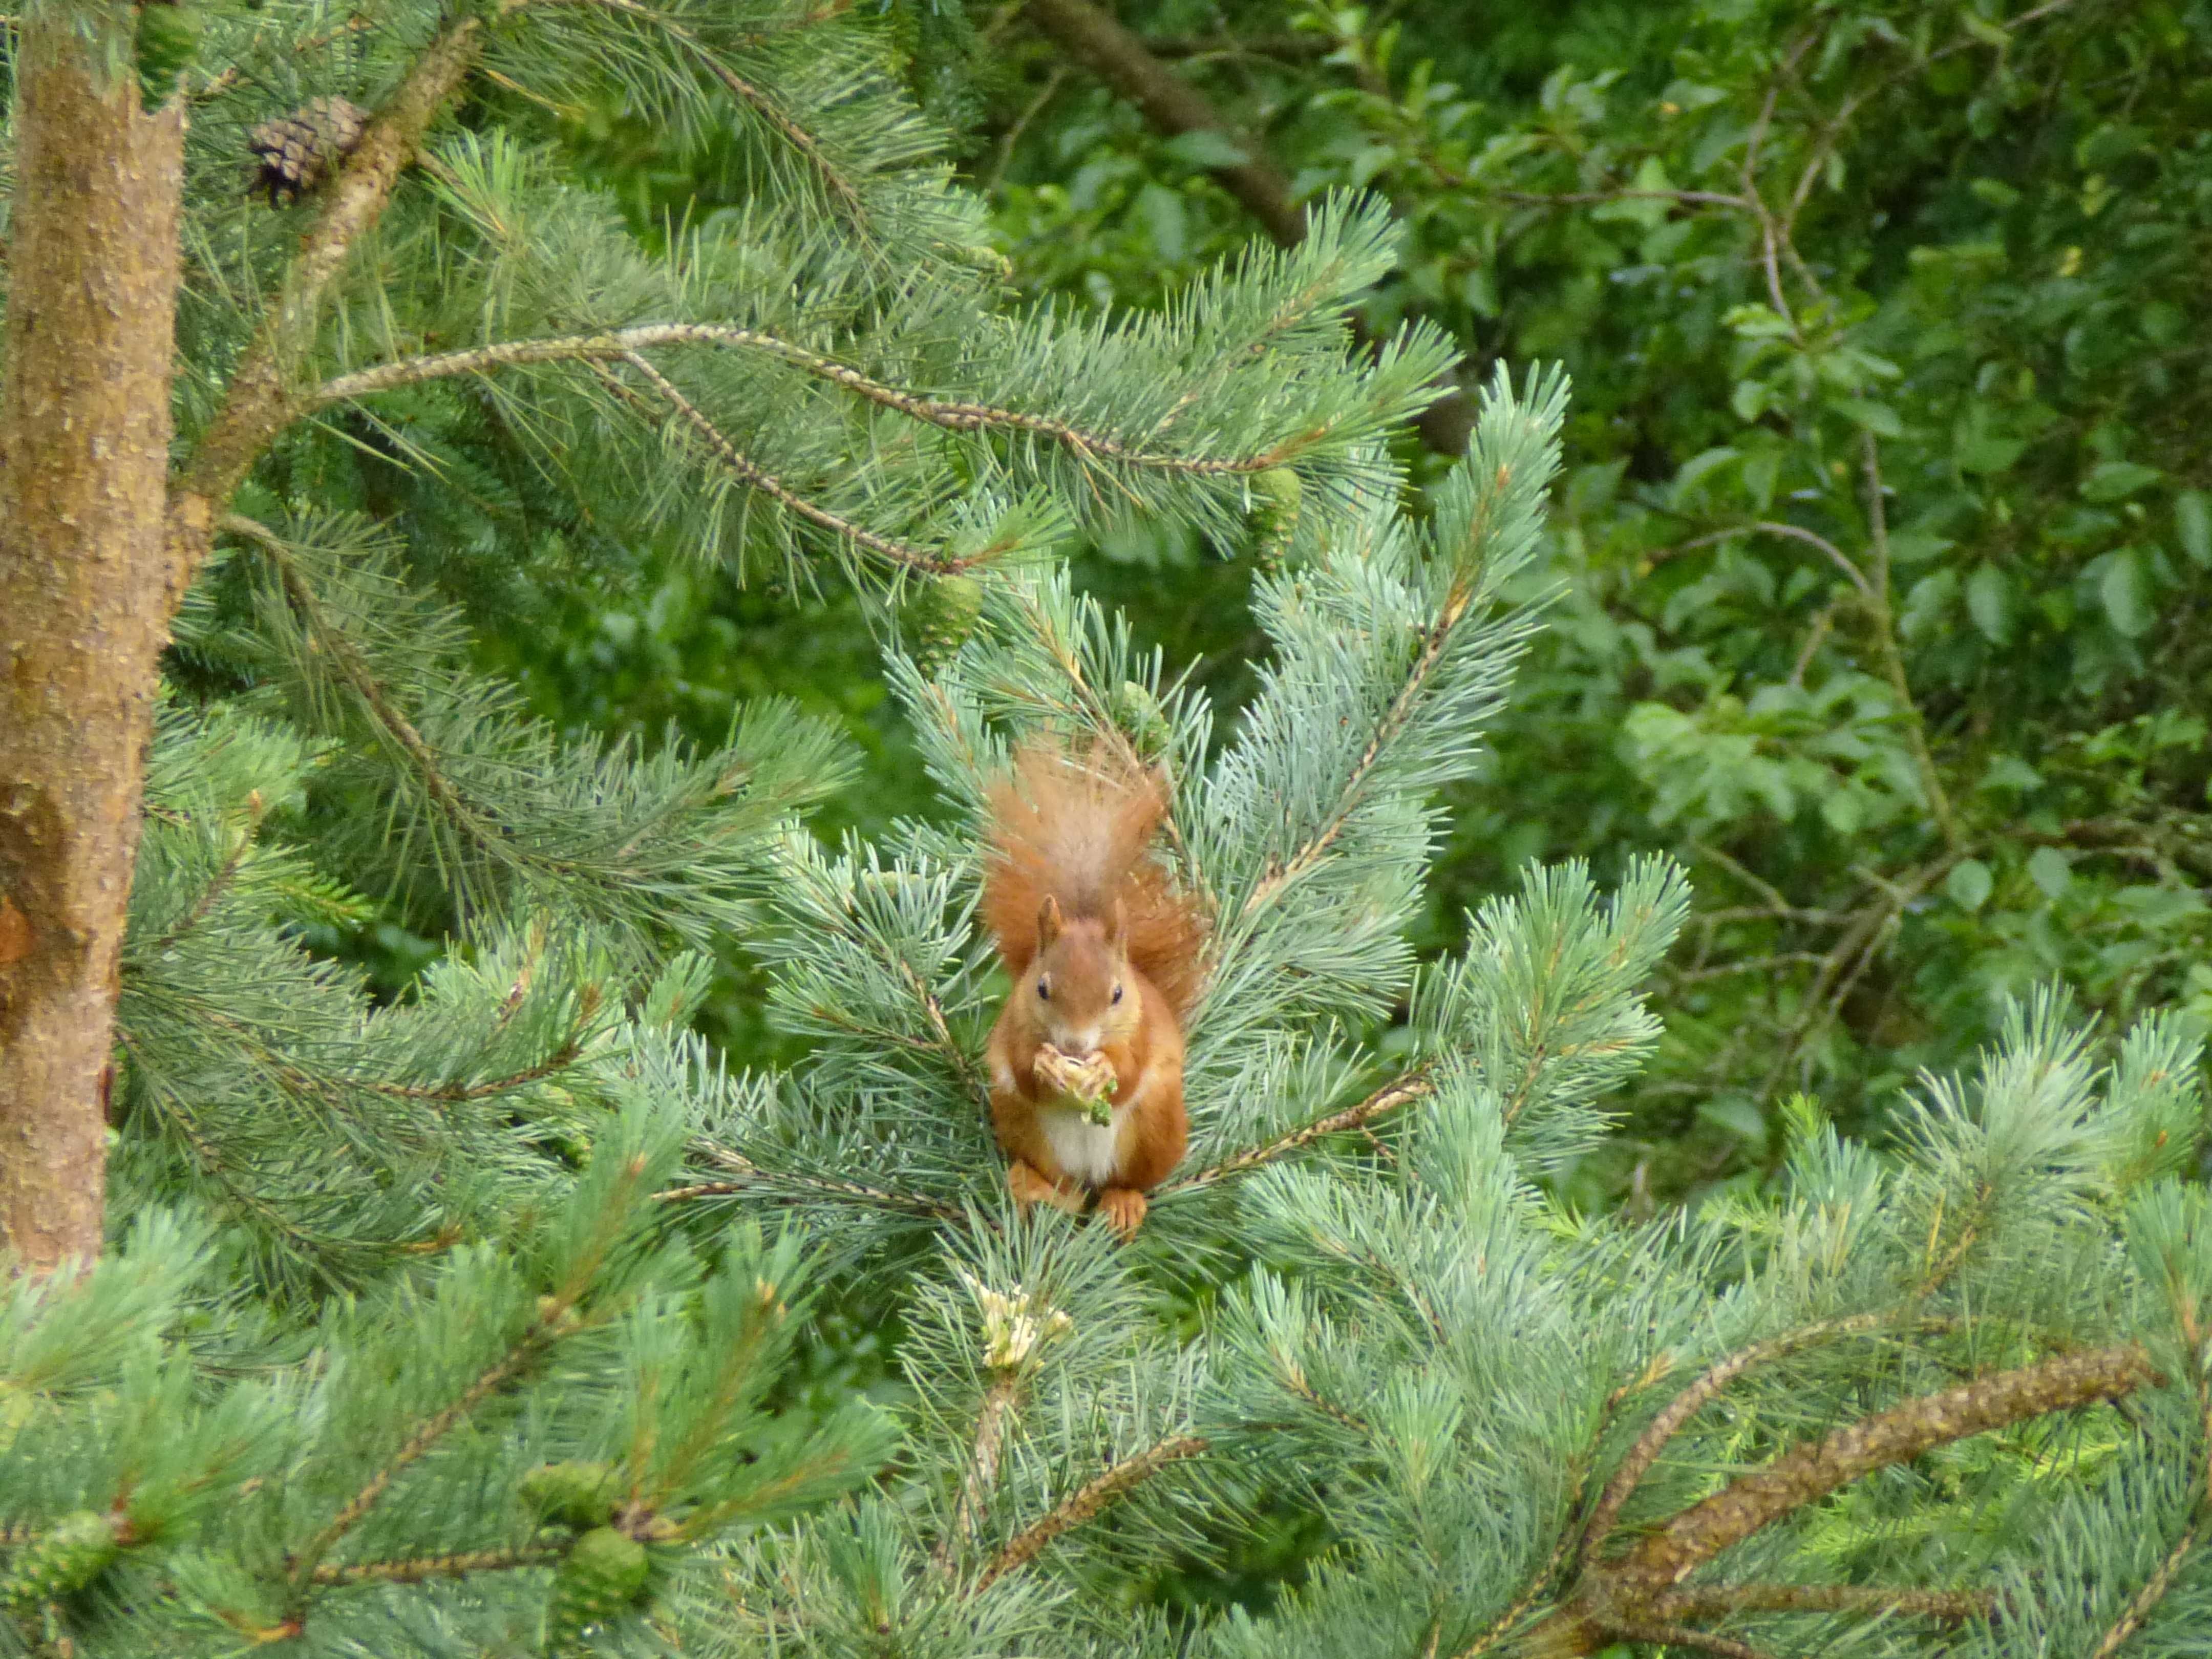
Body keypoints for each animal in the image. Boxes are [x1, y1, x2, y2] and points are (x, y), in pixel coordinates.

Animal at [980, 742, 1209, 1238]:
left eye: (1118, 995)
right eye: (1041, 988)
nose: (1075, 1046)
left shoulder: (1142, 1030)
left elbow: (1130, 1069)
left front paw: (1104, 1069)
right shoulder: (1014, 1024)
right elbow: (1021, 1066)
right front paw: (1044, 1064)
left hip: (1155, 1129)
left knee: (1129, 1181)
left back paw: (1124, 1202)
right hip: (1022, 1126)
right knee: (1064, 1188)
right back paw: (1036, 1187)